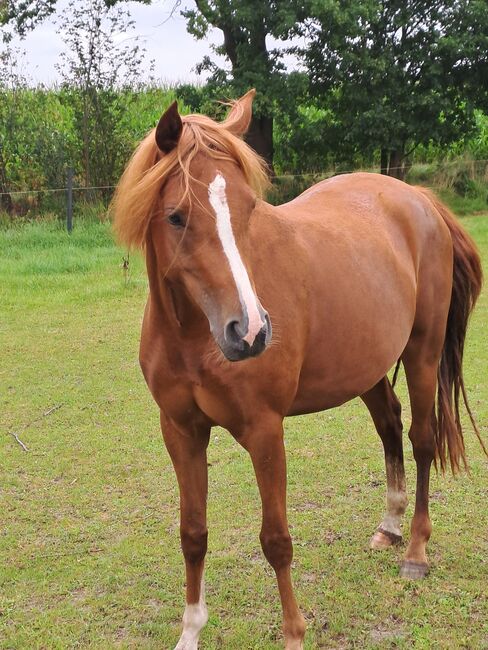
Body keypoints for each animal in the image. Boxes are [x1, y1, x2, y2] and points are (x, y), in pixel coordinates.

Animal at [111, 88, 484, 644]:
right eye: (176, 216)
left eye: (248, 208)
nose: (249, 332)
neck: (193, 336)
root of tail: (419, 198)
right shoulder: (180, 430)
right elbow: (193, 533)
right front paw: (191, 632)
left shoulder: (265, 431)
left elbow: (276, 540)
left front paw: (293, 634)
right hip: (366, 366)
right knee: (389, 424)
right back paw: (390, 526)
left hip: (422, 351)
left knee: (421, 439)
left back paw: (416, 550)